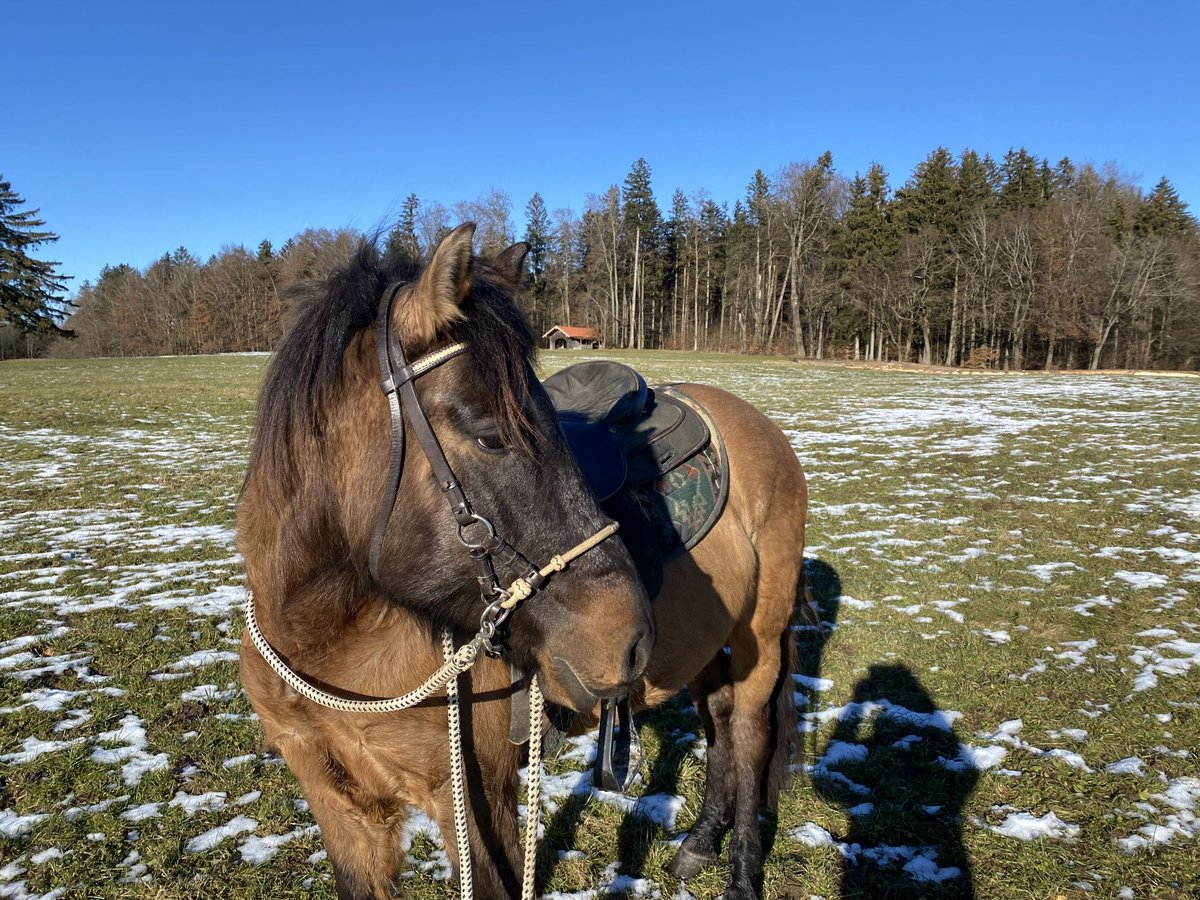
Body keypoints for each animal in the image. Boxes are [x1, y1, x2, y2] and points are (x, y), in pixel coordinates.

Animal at [236, 220, 806, 900]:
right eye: (490, 436)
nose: (631, 640)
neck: (328, 644)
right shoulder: (338, 806)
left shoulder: (477, 801)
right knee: (717, 721)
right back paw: (698, 844)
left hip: (758, 639)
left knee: (747, 733)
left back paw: (741, 871)